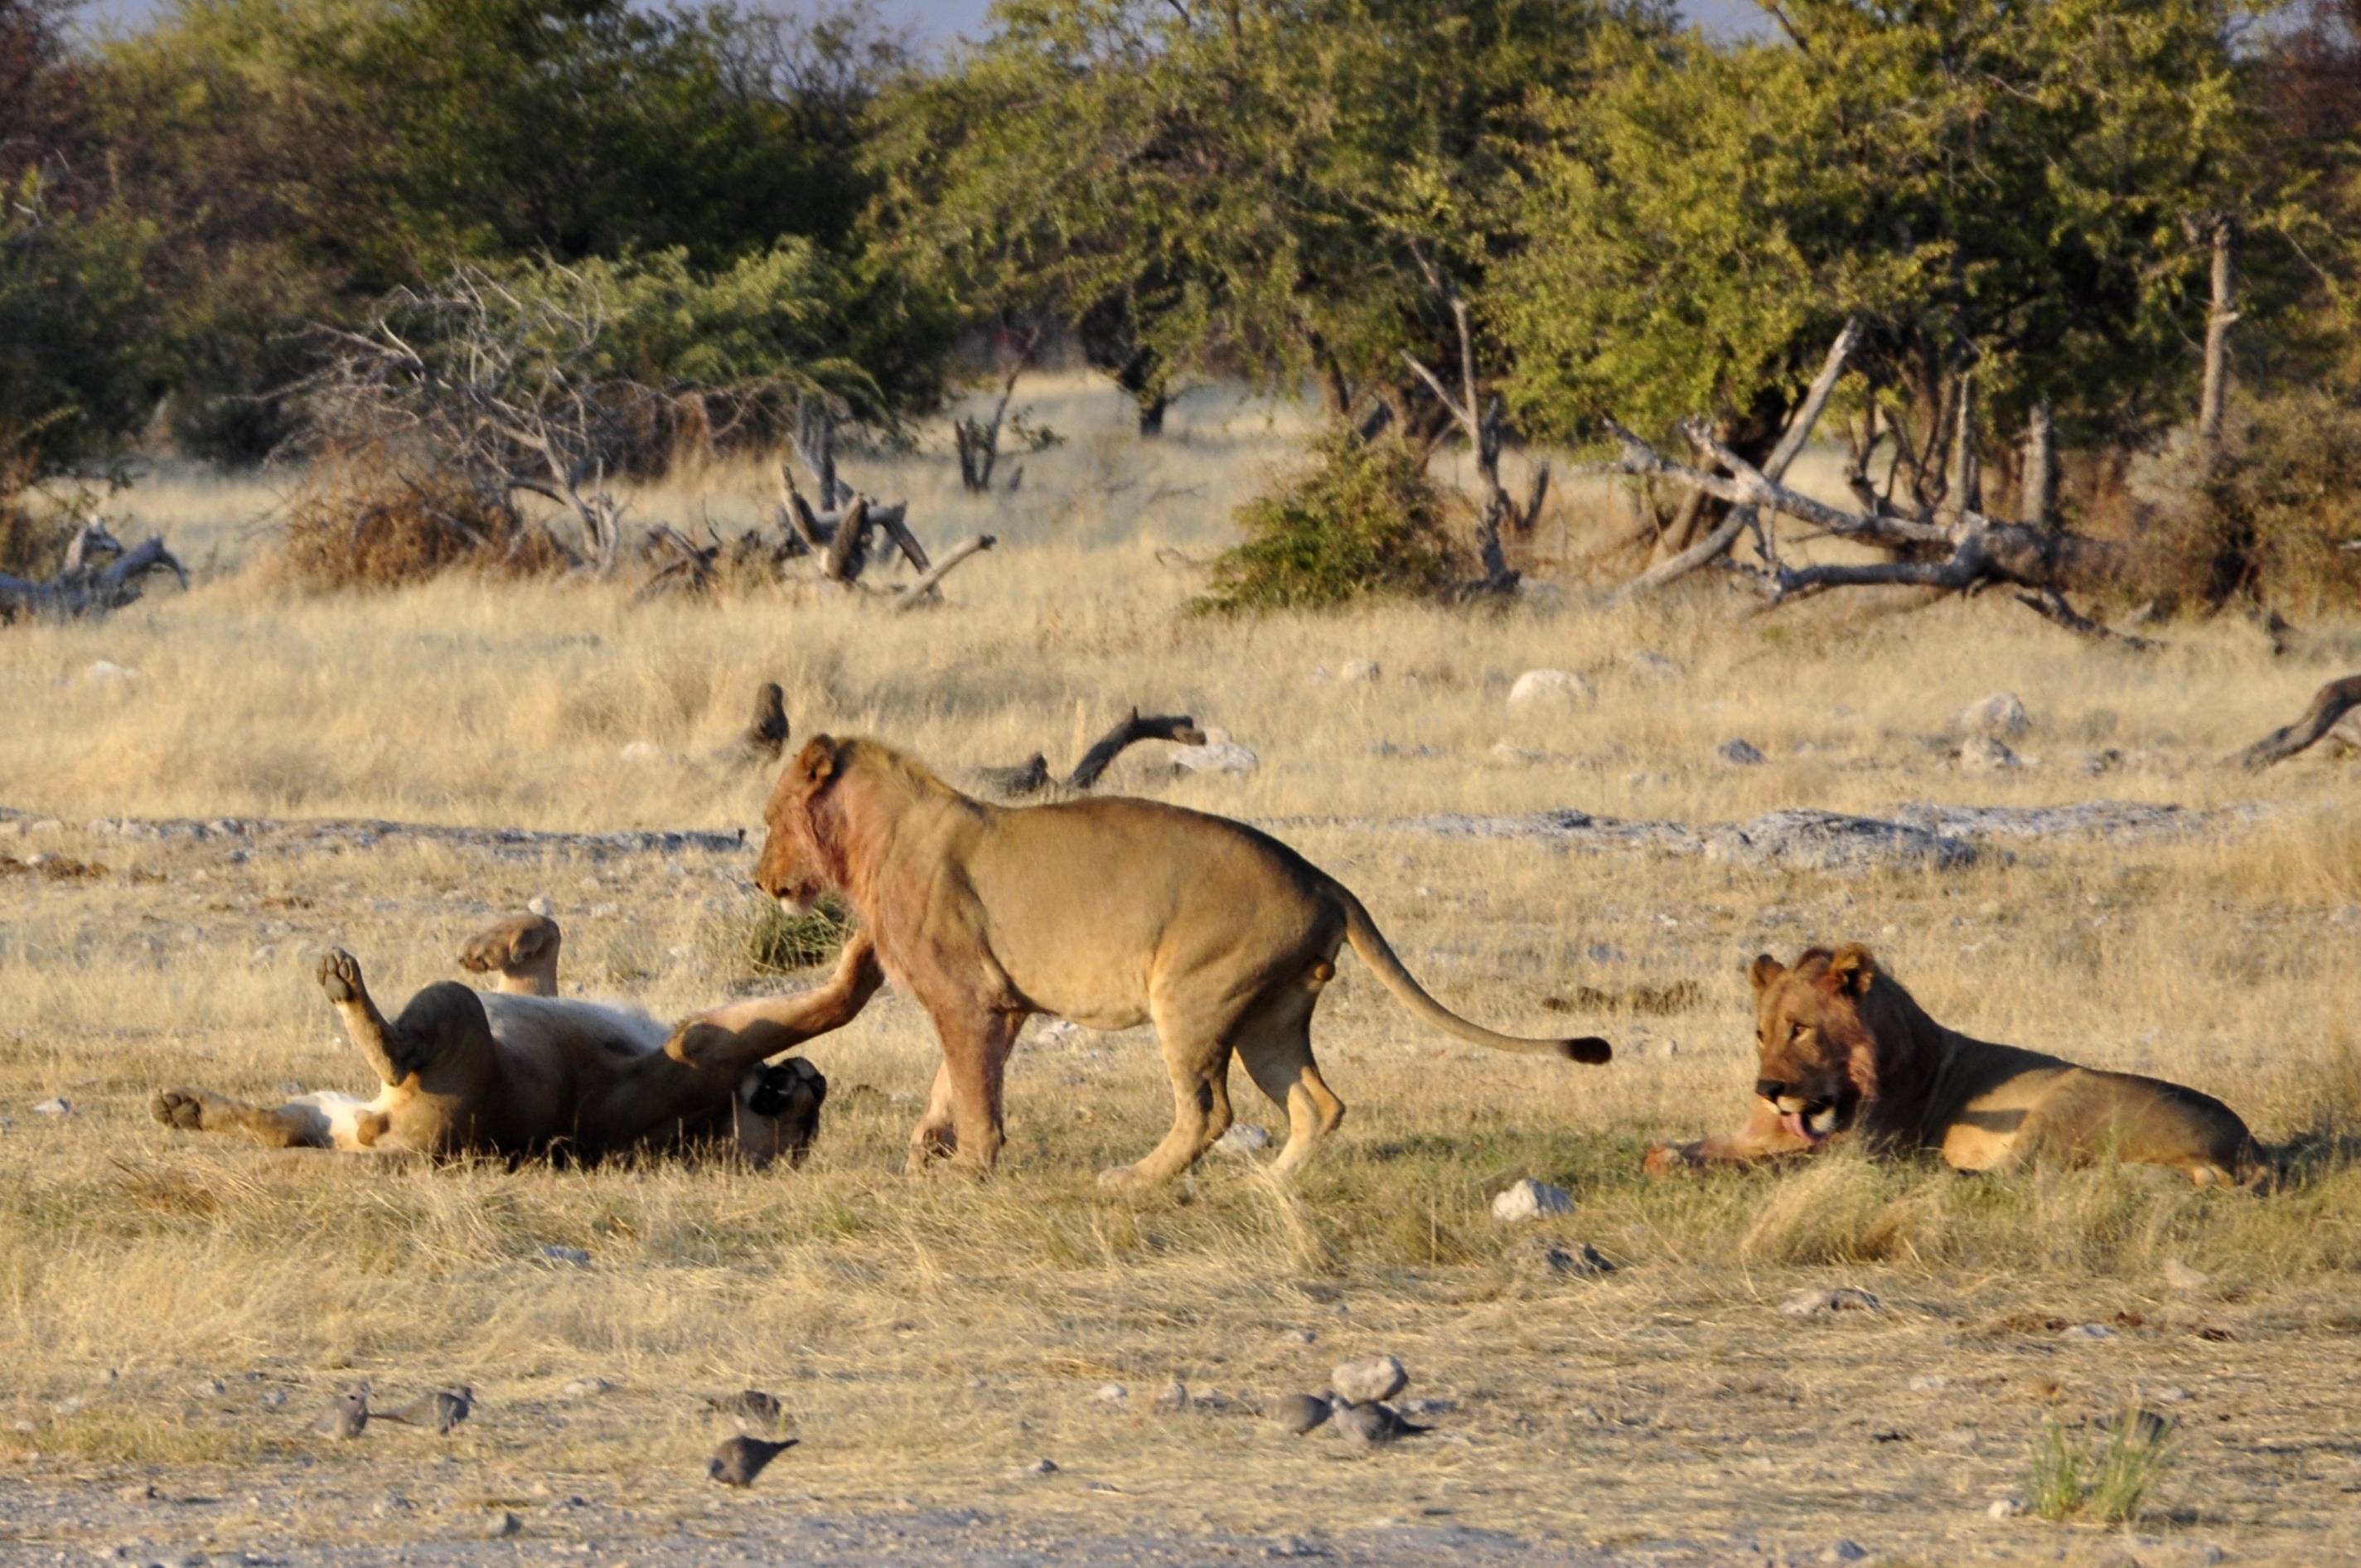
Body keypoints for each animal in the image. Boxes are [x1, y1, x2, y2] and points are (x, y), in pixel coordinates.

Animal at [149, 907, 888, 1161]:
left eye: (797, 1112)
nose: (812, 1077)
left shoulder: (703, 1048)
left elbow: (833, 1005)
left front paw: (865, 960)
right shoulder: (538, 997)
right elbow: (545, 936)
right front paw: (488, 946)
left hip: (453, 1020)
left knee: (394, 1056)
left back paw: (344, 984)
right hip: (329, 1111)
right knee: (282, 1127)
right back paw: (185, 1108)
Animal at [750, 737, 1605, 1190]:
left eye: (767, 819)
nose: (759, 881)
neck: (873, 839)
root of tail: (1324, 880)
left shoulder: (970, 998)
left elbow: (972, 1090)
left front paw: (969, 1168)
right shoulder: (1002, 1007)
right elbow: (949, 1086)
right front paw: (925, 1153)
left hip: (1192, 995)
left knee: (1209, 1112)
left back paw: (1132, 1180)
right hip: (1271, 1015)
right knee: (1318, 1104)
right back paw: (1268, 1184)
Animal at [1652, 944, 2257, 1190]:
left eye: (1800, 1028)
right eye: (1762, 1033)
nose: (1769, 1088)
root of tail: (2244, 1149)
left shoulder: (1862, 1149)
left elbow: (1775, 1165)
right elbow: (1703, 1147)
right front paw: (1669, 1155)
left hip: (2067, 1094)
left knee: (2010, 1176)